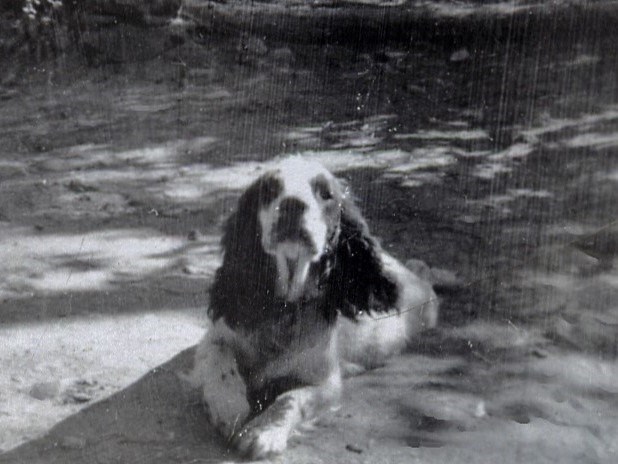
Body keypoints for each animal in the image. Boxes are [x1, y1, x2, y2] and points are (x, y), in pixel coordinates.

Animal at [185, 158, 436, 458]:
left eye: (326, 194)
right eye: (270, 189)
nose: (292, 204)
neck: (284, 309)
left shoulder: (324, 381)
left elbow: (290, 399)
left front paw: (262, 431)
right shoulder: (216, 337)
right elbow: (218, 359)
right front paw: (228, 403)